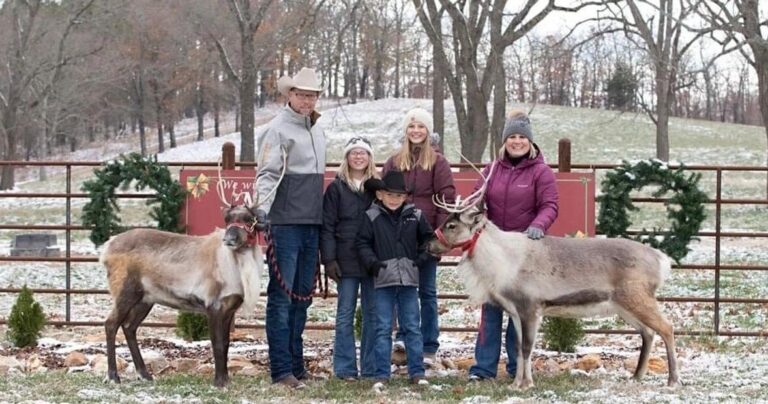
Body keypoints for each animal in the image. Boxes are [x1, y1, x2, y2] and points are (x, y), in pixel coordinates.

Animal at [101, 148, 286, 387]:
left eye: (249, 218)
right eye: (227, 218)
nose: (229, 238)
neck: (237, 271)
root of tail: (106, 248)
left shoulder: (230, 307)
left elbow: (227, 344)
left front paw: (226, 379)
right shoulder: (213, 304)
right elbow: (217, 343)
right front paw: (219, 382)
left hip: (146, 298)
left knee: (129, 327)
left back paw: (145, 374)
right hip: (125, 290)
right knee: (111, 324)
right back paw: (114, 376)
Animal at [427, 161, 679, 389]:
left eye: (451, 225)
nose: (429, 244)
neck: (502, 265)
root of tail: (662, 260)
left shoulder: (531, 306)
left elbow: (527, 347)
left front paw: (527, 384)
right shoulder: (515, 310)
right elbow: (517, 347)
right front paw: (515, 383)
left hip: (638, 296)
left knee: (667, 327)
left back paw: (673, 380)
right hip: (623, 305)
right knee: (648, 332)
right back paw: (637, 376)